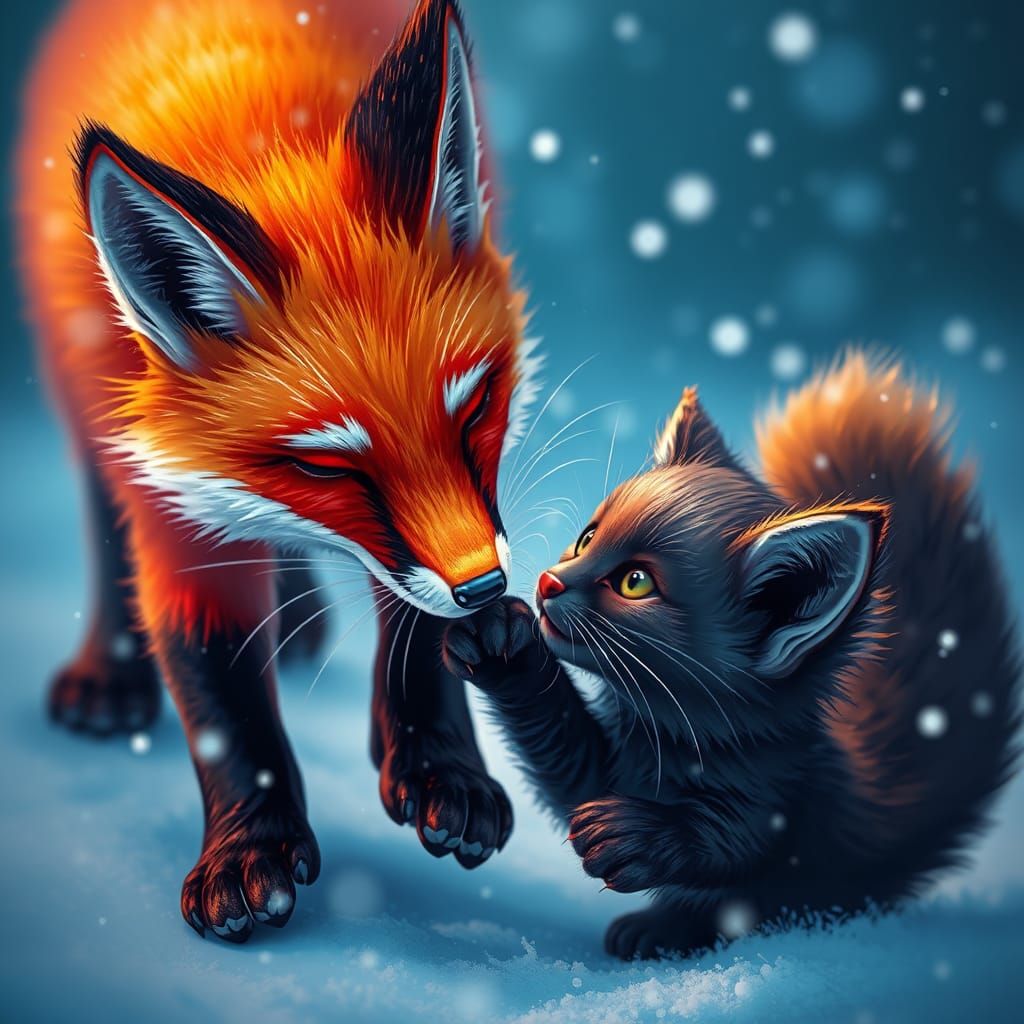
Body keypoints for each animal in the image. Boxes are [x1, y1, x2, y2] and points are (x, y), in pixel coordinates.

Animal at [15, 0, 541, 942]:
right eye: (326, 465)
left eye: (475, 407)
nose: (486, 590)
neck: (261, 136)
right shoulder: (168, 493)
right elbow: (220, 687)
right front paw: (248, 846)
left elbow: (412, 625)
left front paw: (439, 764)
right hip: (82, 392)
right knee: (107, 523)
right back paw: (113, 670)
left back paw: (296, 622)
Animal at [442, 352, 1021, 959]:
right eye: (586, 539)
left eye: (634, 582)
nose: (549, 582)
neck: (672, 745)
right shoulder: (599, 765)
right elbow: (559, 747)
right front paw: (501, 646)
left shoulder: (780, 800)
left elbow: (731, 843)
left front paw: (636, 834)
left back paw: (661, 929)